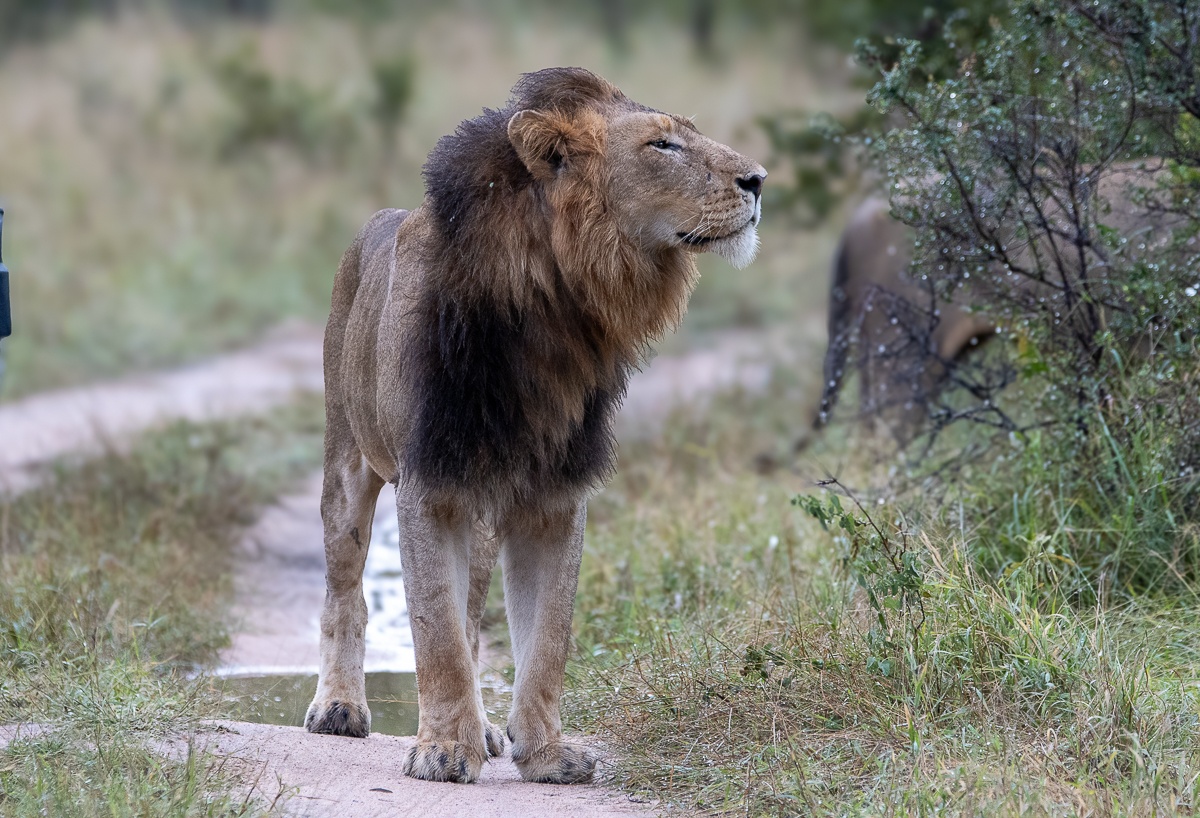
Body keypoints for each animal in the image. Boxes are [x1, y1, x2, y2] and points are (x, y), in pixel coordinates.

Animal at [303, 67, 765, 785]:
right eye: (662, 144)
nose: (759, 180)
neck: (556, 309)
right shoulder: (430, 483)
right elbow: (434, 632)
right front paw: (442, 750)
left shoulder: (555, 494)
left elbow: (544, 638)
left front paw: (544, 751)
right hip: (348, 468)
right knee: (347, 590)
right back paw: (340, 707)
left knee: (471, 616)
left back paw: (486, 729)